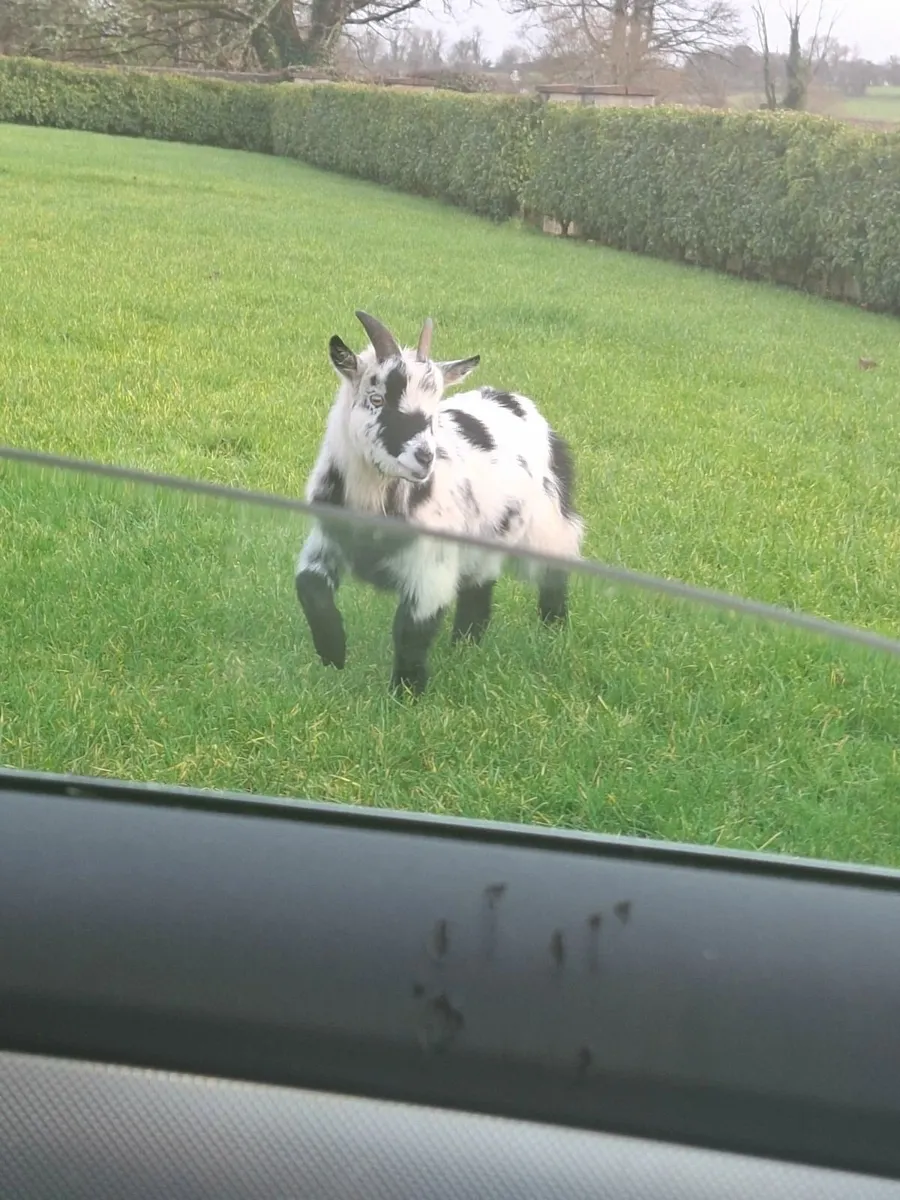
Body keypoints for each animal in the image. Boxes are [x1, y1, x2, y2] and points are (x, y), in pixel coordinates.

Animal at [295, 310, 584, 695]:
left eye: (433, 411)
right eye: (377, 399)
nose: (424, 458)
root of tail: (516, 401)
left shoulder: (430, 567)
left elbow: (411, 630)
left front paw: (406, 694)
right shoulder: (326, 541)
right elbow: (309, 587)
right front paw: (333, 656)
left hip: (547, 521)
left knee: (555, 567)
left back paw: (552, 630)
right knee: (479, 584)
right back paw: (465, 645)